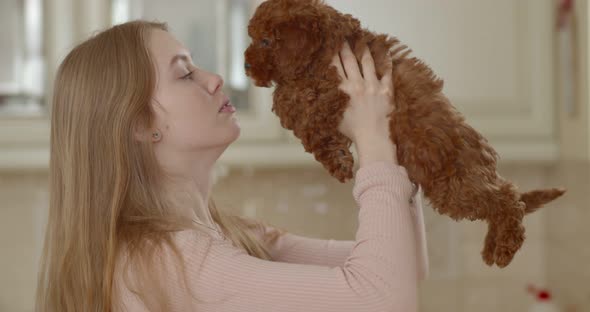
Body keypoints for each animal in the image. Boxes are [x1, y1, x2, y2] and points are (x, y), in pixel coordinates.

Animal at [245, 0, 568, 268]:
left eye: (265, 40)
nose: (246, 65)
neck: (327, 45)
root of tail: (487, 163)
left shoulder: (328, 85)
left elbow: (292, 101)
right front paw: (339, 160)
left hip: (457, 186)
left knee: (508, 199)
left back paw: (503, 249)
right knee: (503, 199)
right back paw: (492, 247)